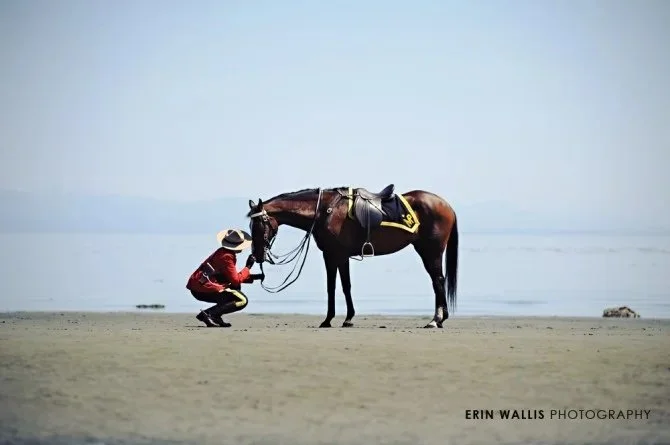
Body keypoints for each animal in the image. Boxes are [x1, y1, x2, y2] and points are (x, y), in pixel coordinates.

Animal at [246, 184, 459, 329]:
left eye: (258, 226)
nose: (257, 255)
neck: (324, 211)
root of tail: (447, 205)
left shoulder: (338, 254)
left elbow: (342, 286)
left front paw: (343, 318)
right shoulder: (332, 255)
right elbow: (335, 286)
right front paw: (332, 318)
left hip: (431, 251)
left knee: (438, 280)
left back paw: (436, 320)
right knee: (438, 281)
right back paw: (440, 319)